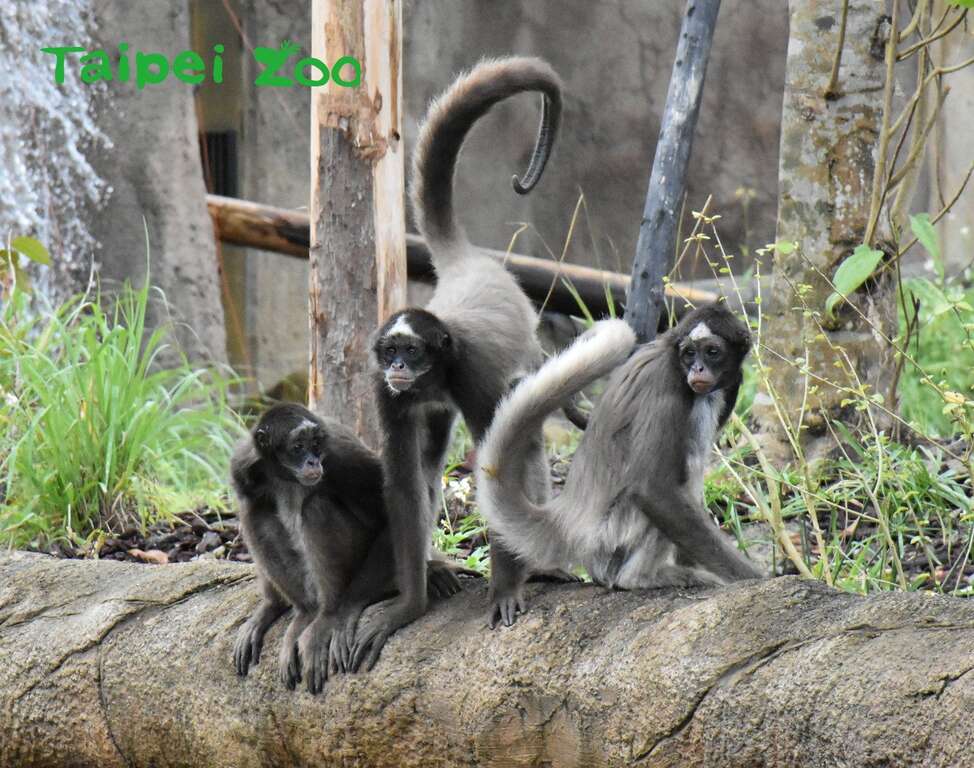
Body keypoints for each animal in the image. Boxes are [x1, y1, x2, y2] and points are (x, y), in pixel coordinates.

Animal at [231, 404, 470, 694]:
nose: (313, 462)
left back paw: (326, 614)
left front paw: (339, 616)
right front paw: (270, 605)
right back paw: (304, 613)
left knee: (315, 506)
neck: (287, 479)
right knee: (255, 510)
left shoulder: (339, 455)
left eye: (315, 444)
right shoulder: (242, 466)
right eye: (297, 447)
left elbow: (389, 516)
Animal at [348, 56, 564, 672]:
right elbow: (401, 482)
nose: (399, 366)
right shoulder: (383, 389)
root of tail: (469, 266)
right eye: (389, 352)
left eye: (413, 351)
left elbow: (498, 463)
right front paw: (409, 605)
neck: (438, 369)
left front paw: (506, 588)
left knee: (526, 438)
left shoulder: (471, 375)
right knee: (428, 455)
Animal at [477, 304, 764, 612]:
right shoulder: (667, 382)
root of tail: (568, 519)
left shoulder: (731, 384)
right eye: (689, 353)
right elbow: (653, 490)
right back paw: (638, 578)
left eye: (712, 352)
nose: (697, 368)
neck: (673, 360)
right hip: (610, 538)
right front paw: (755, 577)